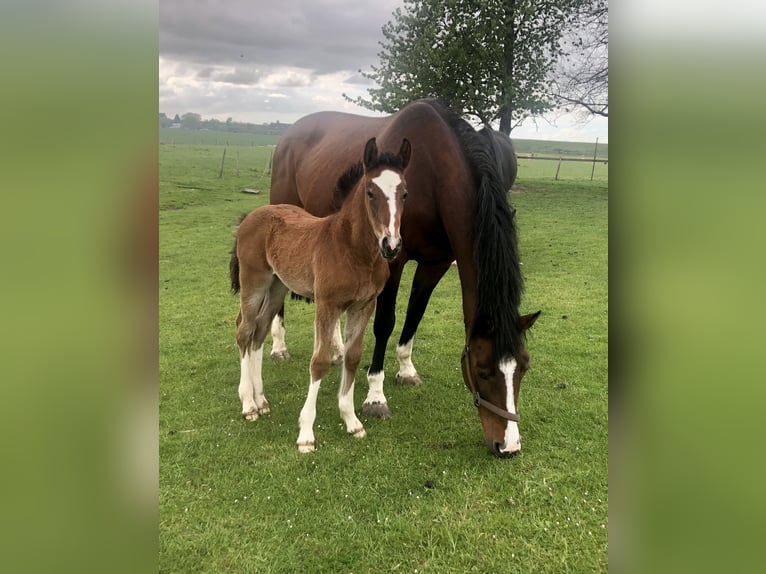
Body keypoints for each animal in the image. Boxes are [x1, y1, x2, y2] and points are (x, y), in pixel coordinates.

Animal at [229, 137, 411, 453]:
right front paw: (306, 434)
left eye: (405, 194)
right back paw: (249, 404)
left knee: (259, 332)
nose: (391, 245)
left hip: (277, 286)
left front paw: (352, 421)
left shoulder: (364, 305)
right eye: (370, 192)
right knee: (245, 330)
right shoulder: (326, 304)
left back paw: (262, 400)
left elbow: (352, 357)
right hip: (254, 281)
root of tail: (250, 216)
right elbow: (320, 362)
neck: (352, 250)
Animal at [269, 98, 540, 457]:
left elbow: (415, 314)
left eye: (523, 367)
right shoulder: (392, 260)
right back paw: (279, 346)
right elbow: (385, 322)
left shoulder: (436, 263)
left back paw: (338, 348)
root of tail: (290, 133)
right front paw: (375, 395)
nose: (508, 446)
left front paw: (406, 369)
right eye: (482, 372)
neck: (433, 173)